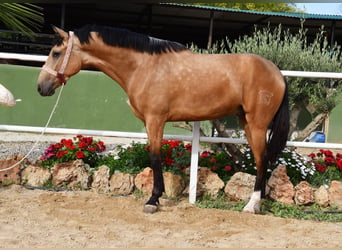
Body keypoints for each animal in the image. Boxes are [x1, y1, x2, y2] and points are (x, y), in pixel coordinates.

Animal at [37, 24, 288, 213]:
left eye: (56, 53)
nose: (41, 87)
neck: (143, 66)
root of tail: (276, 72)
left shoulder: (155, 120)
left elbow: (155, 157)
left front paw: (153, 200)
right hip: (246, 122)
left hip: (257, 124)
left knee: (262, 159)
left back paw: (252, 205)